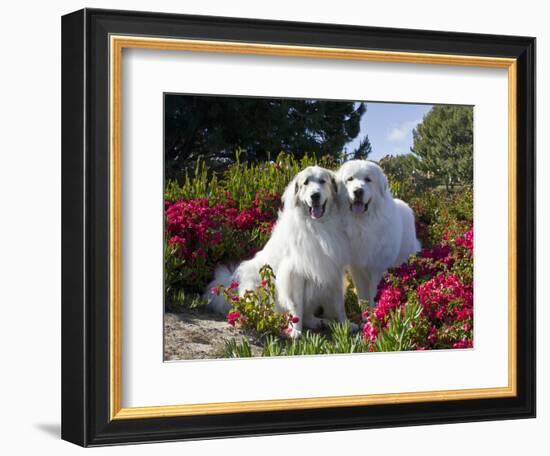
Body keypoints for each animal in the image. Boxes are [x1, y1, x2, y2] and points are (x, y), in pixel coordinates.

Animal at [205, 166, 352, 336]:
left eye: (323, 181)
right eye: (306, 183)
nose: (314, 196)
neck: (318, 226)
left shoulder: (334, 269)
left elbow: (339, 304)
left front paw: (346, 325)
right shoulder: (295, 273)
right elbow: (297, 306)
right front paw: (296, 330)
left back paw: (318, 321)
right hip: (255, 282)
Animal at [336, 159, 422, 306]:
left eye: (368, 180)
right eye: (350, 179)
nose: (358, 191)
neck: (362, 224)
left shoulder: (378, 268)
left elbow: (374, 295)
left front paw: (375, 310)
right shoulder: (357, 269)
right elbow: (363, 296)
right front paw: (365, 312)